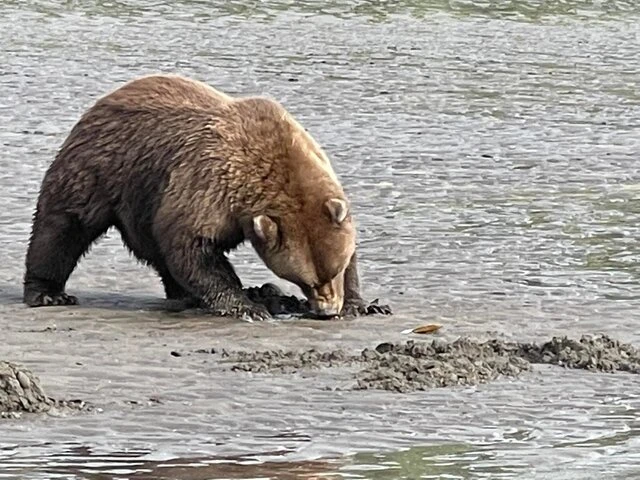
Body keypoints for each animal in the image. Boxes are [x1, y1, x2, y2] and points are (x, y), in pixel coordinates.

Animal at [22, 74, 391, 320]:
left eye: (333, 270)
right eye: (303, 280)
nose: (327, 309)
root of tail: (103, 100)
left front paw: (363, 303)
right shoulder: (207, 184)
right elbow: (191, 244)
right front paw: (247, 305)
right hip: (97, 168)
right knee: (63, 228)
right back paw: (48, 293)